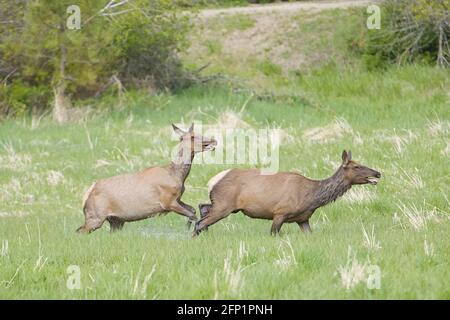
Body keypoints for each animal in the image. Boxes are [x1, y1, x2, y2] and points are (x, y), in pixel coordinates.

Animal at [76, 124, 217, 234]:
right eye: (192, 137)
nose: (214, 141)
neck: (177, 175)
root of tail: (87, 193)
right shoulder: (167, 201)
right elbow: (192, 215)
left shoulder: (177, 199)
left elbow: (192, 210)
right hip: (95, 216)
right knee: (79, 231)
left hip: (116, 220)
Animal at [195, 150, 382, 235]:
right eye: (356, 166)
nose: (378, 173)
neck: (312, 198)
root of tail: (212, 181)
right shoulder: (280, 212)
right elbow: (274, 233)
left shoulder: (303, 219)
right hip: (224, 205)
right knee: (200, 223)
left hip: (220, 204)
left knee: (203, 207)